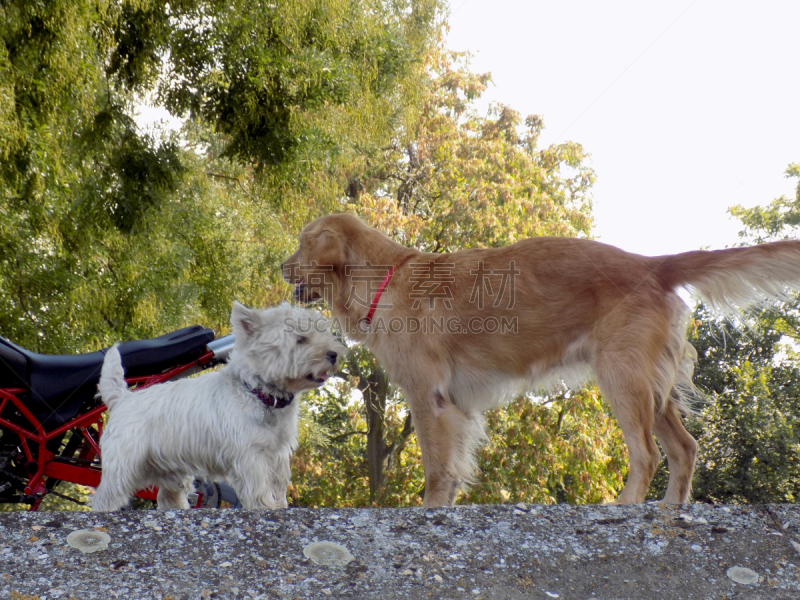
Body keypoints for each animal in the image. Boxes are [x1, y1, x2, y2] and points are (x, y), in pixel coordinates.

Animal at [92, 300, 346, 510]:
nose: (334, 354)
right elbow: (260, 488)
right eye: (300, 339)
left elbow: (278, 484)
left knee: (167, 497)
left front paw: (280, 506)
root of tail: (122, 398)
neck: (261, 394)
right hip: (124, 465)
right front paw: (266, 508)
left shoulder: (279, 453)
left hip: (171, 469)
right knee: (105, 497)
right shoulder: (251, 455)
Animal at [284, 214, 800, 506]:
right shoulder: (457, 407)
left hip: (622, 378)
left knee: (648, 454)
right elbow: (451, 472)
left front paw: (429, 512)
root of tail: (651, 264)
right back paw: (671, 510)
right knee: (685, 449)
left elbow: (435, 469)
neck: (388, 278)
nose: (280, 267)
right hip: (652, 386)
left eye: (303, 243)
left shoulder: (429, 399)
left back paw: (624, 506)